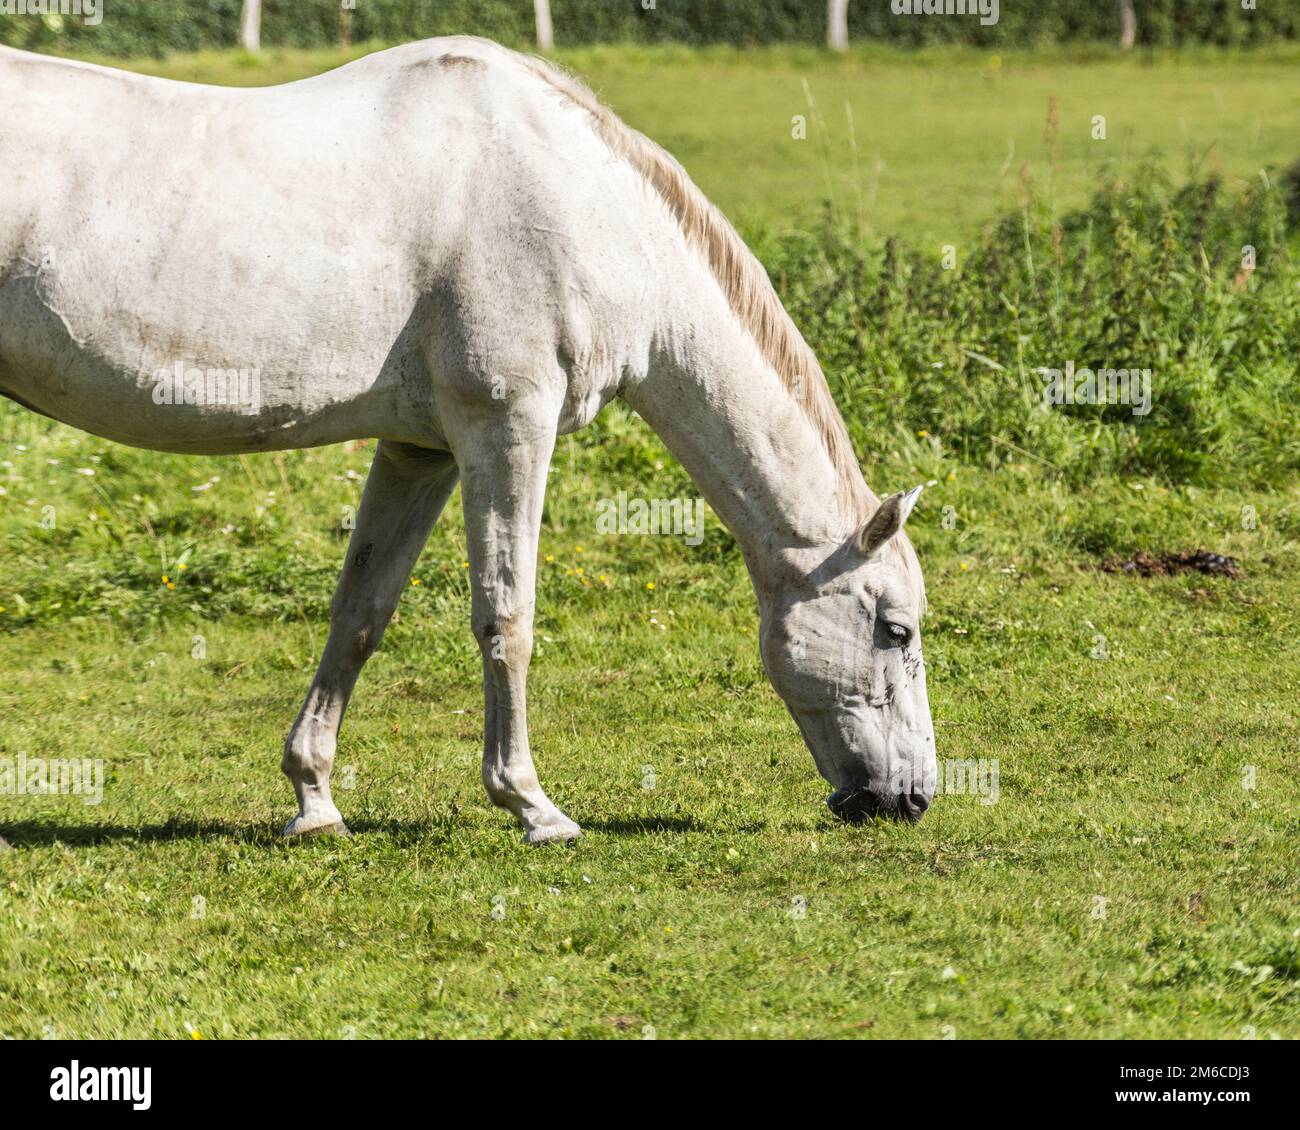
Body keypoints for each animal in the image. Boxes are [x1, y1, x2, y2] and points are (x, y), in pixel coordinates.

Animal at [0, 36, 935, 842]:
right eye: (895, 631)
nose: (912, 798)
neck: (580, 203)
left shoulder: (423, 450)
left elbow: (360, 613)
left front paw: (314, 799)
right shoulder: (507, 425)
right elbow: (507, 616)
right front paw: (532, 805)